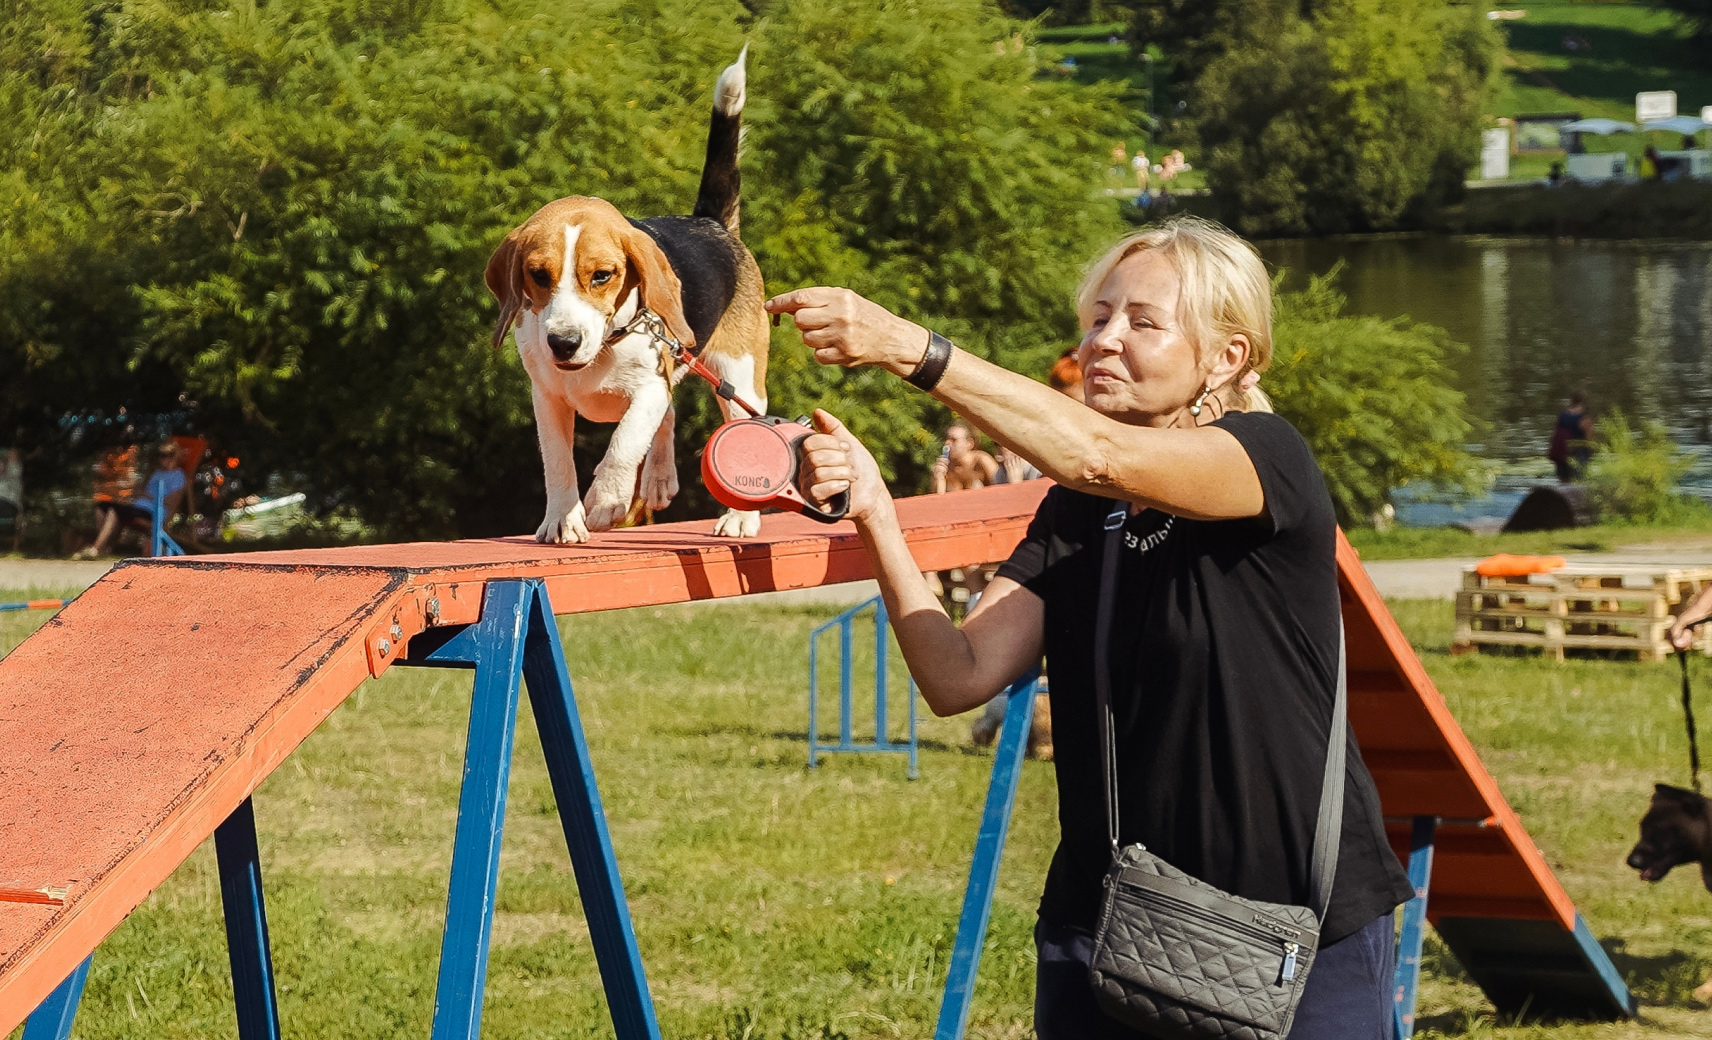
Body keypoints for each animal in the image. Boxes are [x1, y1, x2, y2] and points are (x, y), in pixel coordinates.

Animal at [489, 46, 770, 544]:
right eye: (538, 275)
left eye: (602, 276)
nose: (563, 342)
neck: (606, 344)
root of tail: (710, 222)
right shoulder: (547, 398)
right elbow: (557, 463)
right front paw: (562, 520)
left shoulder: (649, 386)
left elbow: (623, 442)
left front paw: (606, 501)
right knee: (669, 418)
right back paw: (658, 479)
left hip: (739, 376)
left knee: (736, 426)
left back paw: (740, 517)